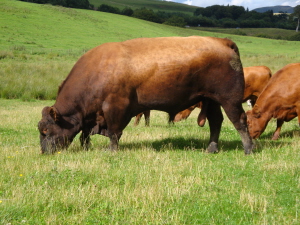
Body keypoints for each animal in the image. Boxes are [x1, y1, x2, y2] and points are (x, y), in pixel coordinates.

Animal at [37, 35, 253, 155]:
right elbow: (85, 134)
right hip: (211, 100)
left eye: (46, 131)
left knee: (240, 120)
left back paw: (248, 149)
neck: (98, 70)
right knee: (216, 122)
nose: (44, 151)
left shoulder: (115, 108)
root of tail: (223, 41)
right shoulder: (92, 117)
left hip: (230, 100)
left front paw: (111, 150)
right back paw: (211, 148)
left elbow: (114, 132)